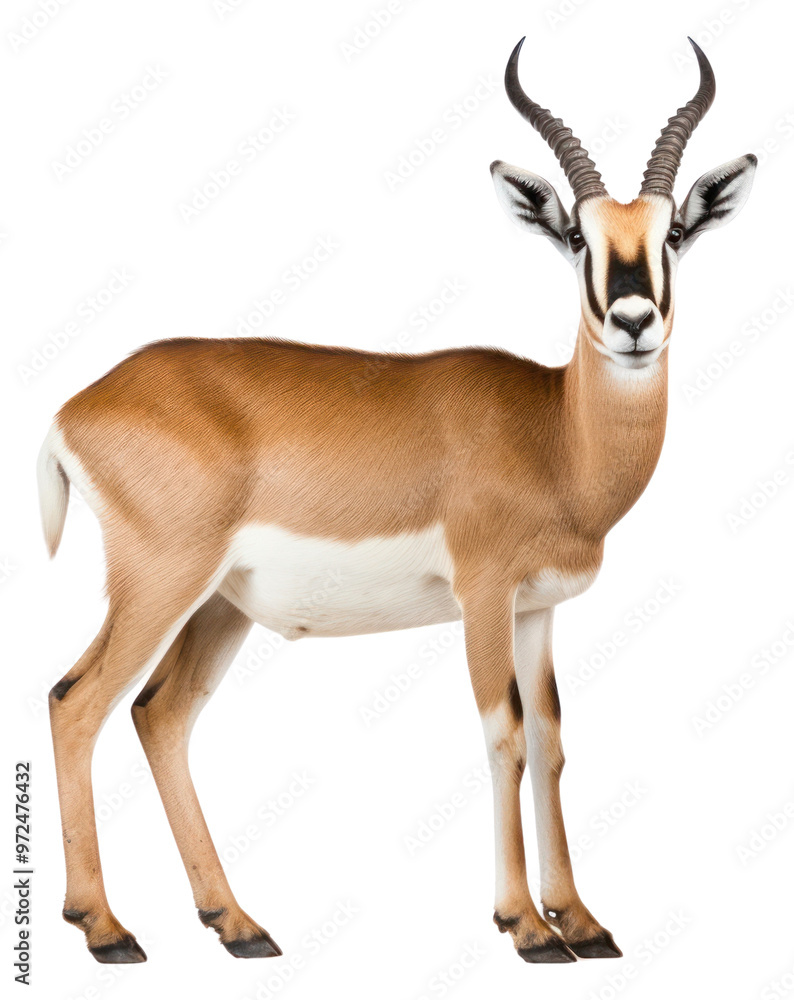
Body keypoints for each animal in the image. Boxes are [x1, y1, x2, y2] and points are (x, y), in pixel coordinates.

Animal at [38, 36, 756, 965]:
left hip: (217, 606)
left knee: (158, 716)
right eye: (575, 236)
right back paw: (106, 929)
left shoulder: (537, 609)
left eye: (672, 232)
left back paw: (237, 924)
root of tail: (77, 405)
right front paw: (526, 927)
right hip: (160, 584)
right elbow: (503, 733)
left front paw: (582, 921)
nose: (634, 322)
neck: (553, 431)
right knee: (76, 702)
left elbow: (552, 739)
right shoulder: (483, 596)